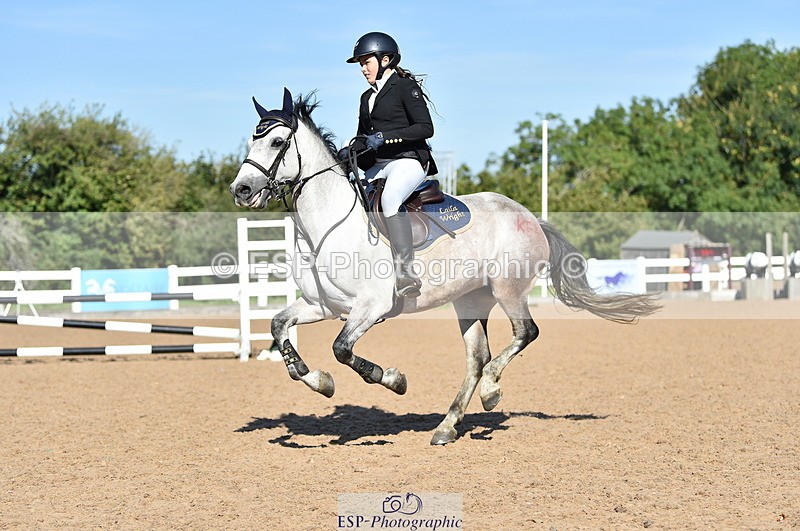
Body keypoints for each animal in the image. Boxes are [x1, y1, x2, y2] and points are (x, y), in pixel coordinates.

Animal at [229, 88, 660, 445]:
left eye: (278, 141)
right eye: (252, 139)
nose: (241, 190)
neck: (328, 225)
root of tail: (530, 216)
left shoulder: (370, 307)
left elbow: (342, 349)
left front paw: (393, 380)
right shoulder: (322, 305)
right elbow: (279, 326)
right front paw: (320, 382)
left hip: (508, 290)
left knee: (524, 334)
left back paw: (491, 390)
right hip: (470, 301)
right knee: (476, 359)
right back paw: (447, 426)